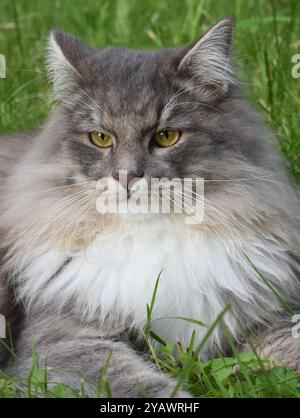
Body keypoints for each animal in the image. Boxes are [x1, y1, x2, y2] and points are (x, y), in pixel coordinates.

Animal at [0, 18, 300, 398]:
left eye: (166, 136)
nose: (126, 177)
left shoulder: (262, 312)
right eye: (100, 138)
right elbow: (141, 385)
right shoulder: (65, 341)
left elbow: (287, 346)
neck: (151, 236)